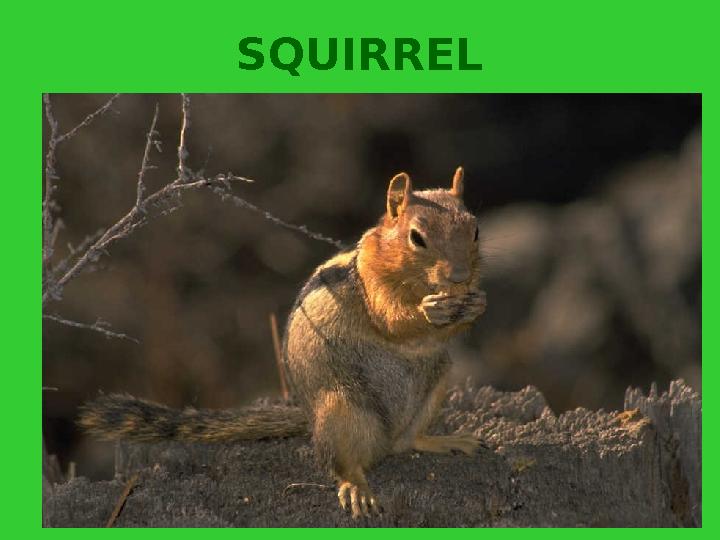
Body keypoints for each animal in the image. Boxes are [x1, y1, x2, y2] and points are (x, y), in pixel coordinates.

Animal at [79, 166, 487, 519]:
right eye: (417, 238)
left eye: (476, 230)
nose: (460, 277)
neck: (412, 278)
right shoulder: (372, 281)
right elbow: (390, 320)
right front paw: (429, 309)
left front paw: (476, 303)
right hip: (341, 408)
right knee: (341, 464)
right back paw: (357, 488)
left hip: (437, 385)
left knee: (409, 441)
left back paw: (444, 441)